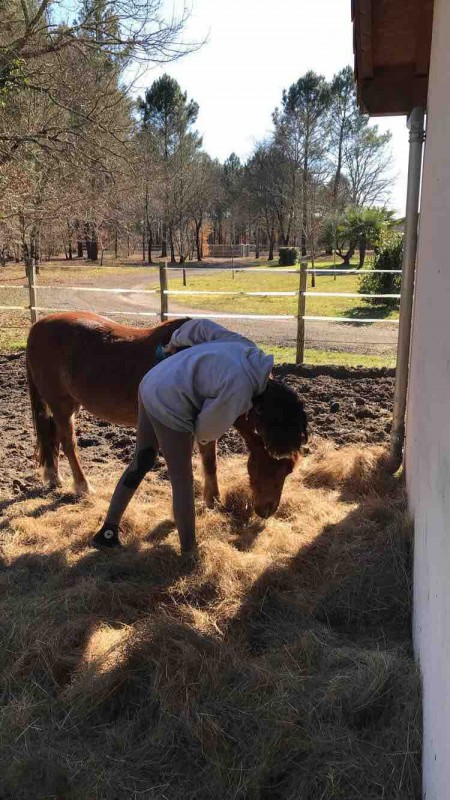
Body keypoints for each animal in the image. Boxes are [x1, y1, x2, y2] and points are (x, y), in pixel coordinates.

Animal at [24, 310, 298, 516]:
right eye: (274, 467)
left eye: (288, 471)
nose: (267, 510)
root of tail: (38, 326)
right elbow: (208, 462)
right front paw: (211, 502)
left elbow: (208, 461)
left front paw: (211, 500)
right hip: (61, 405)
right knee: (68, 443)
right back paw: (82, 486)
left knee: (53, 437)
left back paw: (53, 476)